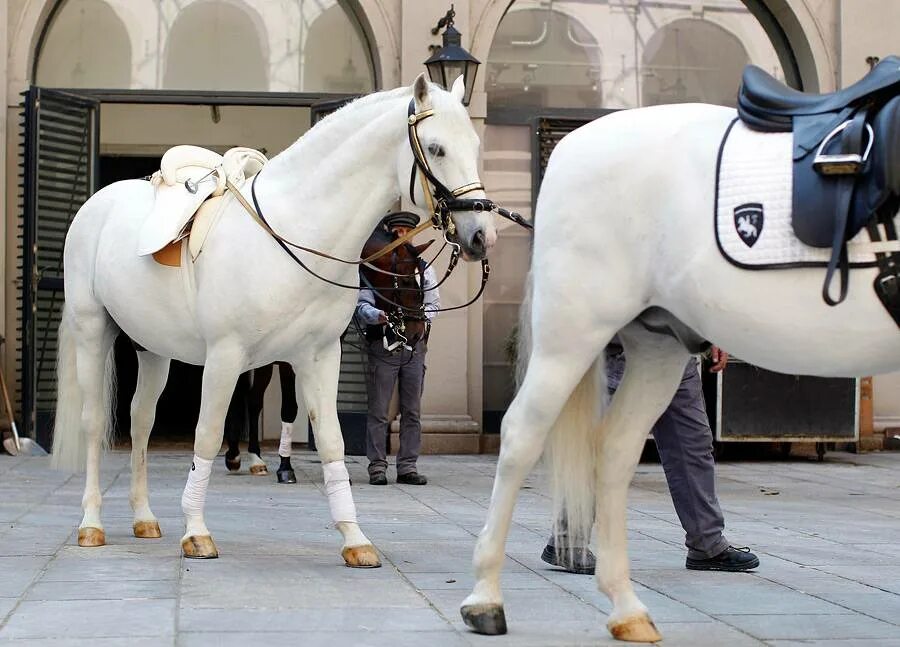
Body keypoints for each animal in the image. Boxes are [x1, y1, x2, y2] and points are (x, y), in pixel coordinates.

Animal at [51, 73, 496, 564]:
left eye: (475, 144)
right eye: (436, 148)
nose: (481, 235)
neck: (294, 232)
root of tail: (95, 206)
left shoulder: (317, 356)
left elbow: (331, 440)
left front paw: (354, 538)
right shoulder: (225, 356)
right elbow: (206, 434)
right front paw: (196, 531)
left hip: (152, 349)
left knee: (140, 421)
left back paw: (144, 517)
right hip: (93, 331)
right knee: (95, 422)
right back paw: (91, 524)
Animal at [460, 104, 896, 640]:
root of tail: (569, 145)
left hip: (657, 349)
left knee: (616, 450)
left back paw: (626, 607)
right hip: (572, 332)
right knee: (523, 436)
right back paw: (486, 596)